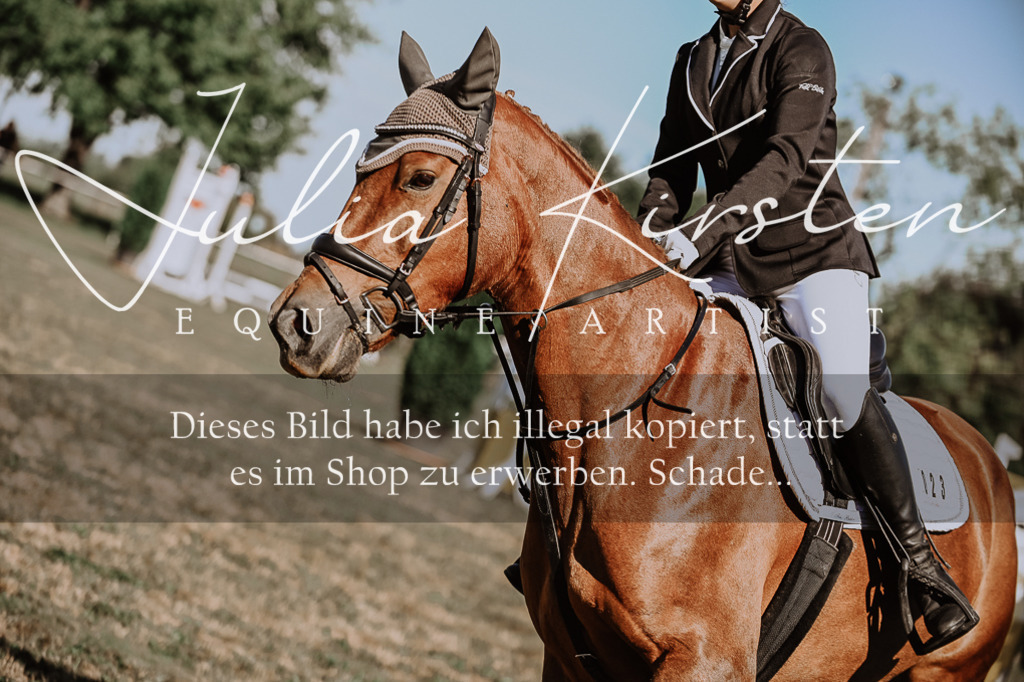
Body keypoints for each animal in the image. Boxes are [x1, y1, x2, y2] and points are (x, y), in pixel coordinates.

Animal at [269, 29, 1016, 680]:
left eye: (420, 178)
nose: (295, 325)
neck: (633, 417)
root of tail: (987, 457)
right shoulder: (568, 655)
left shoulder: (704, 661)